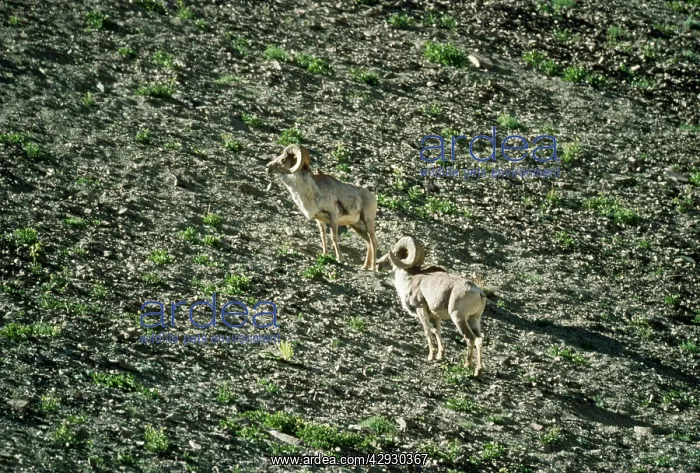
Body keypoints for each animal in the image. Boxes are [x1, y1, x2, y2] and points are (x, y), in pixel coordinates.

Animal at [377, 236, 487, 376]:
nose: (377, 264)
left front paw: (431, 356)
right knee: (479, 340)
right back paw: (478, 370)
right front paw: (440, 355)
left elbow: (428, 331)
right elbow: (437, 332)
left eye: (395, 253)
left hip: (458, 318)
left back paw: (467, 365)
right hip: (474, 319)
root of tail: (478, 293)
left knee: (470, 338)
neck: (409, 280)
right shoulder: (435, 317)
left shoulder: (421, 309)